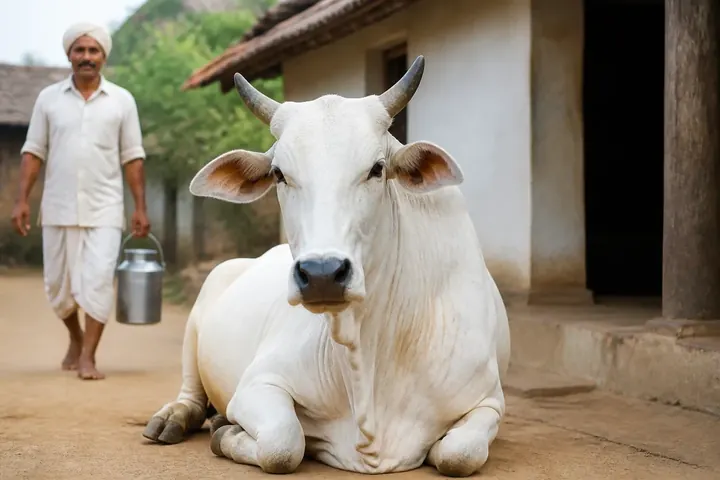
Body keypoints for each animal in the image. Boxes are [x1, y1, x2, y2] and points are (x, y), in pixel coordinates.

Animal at [142, 55, 511, 477]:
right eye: (279, 174)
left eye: (377, 168)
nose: (321, 274)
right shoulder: (259, 382)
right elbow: (283, 444)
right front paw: (228, 433)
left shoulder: (488, 401)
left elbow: (459, 455)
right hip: (199, 315)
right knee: (190, 391)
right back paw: (174, 417)